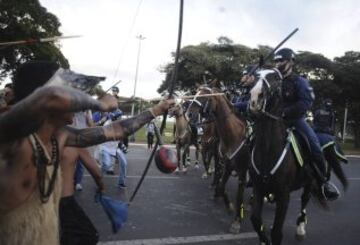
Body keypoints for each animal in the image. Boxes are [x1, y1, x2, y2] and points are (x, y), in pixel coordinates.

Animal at [194, 84, 250, 234]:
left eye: (204, 96)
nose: (189, 114)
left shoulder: (242, 170)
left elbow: (239, 194)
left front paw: (236, 222)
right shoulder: (225, 164)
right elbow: (220, 184)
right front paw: (227, 204)